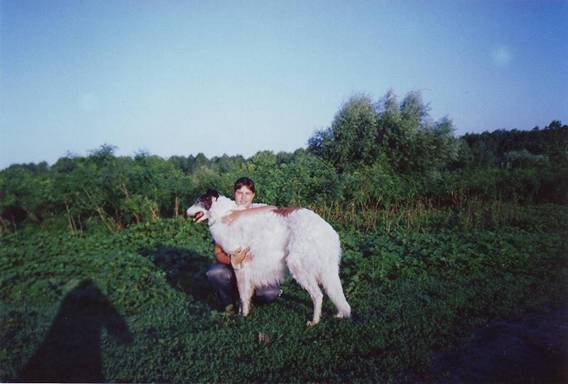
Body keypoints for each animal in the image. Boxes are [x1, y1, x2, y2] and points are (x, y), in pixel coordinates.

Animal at [186, 190, 350, 326]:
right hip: (326, 271)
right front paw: (241, 312)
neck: (224, 214)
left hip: (299, 266)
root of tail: (327, 229)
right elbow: (244, 295)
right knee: (333, 293)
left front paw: (243, 316)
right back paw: (339, 314)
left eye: (198, 201)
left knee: (318, 295)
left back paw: (314, 321)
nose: (186, 212)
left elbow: (242, 296)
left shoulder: (239, 263)